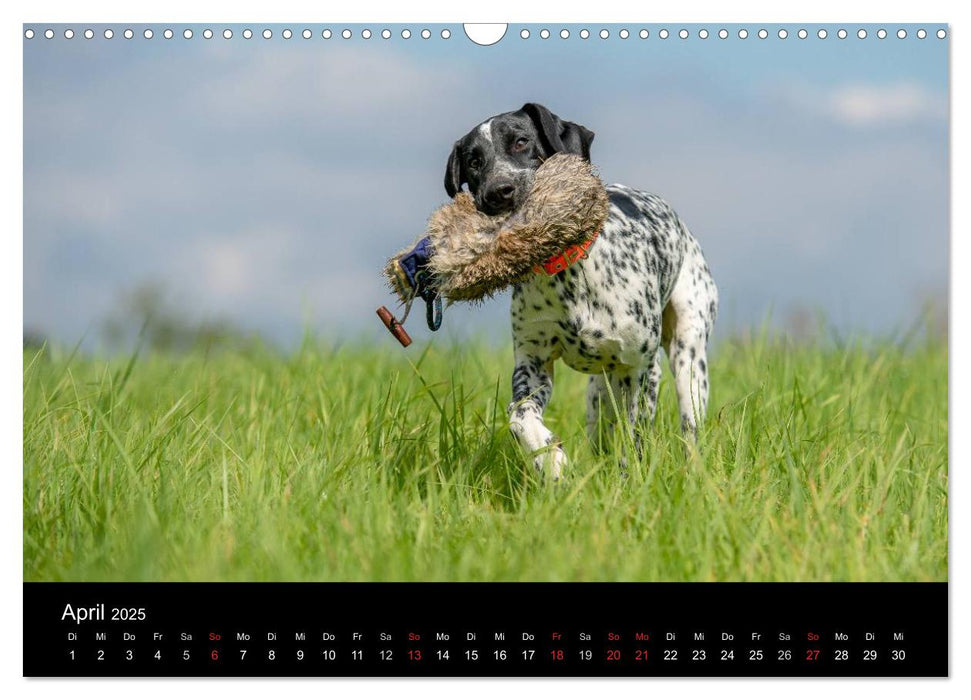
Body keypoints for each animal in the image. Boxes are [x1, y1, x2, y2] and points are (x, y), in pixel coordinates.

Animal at [444, 101, 716, 478]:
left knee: (688, 427)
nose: (499, 191)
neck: (568, 276)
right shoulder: (533, 363)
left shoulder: (637, 369)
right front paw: (550, 459)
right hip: (599, 394)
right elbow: (520, 417)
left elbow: (633, 437)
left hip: (687, 358)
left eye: (521, 141)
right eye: (474, 161)